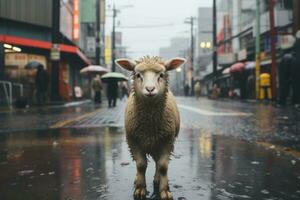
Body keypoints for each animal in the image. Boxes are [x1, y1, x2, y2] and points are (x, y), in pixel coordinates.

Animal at [115, 55, 185, 200]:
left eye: (161, 75)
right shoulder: (133, 140)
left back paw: (157, 179)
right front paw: (140, 189)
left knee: (158, 162)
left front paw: (164, 191)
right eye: (138, 75)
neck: (150, 124)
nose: (150, 89)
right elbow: (141, 165)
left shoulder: (167, 140)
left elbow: (163, 166)